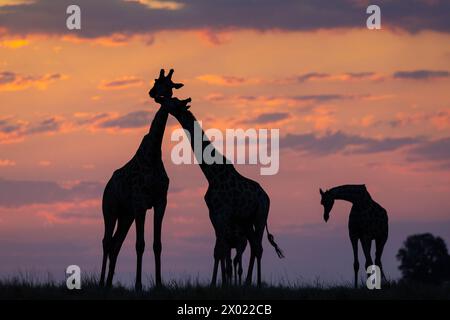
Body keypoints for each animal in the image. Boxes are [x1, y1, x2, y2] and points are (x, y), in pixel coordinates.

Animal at [100, 69, 186, 288]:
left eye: (169, 84)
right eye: (156, 81)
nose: (153, 93)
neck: (153, 154)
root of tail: (107, 186)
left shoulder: (160, 202)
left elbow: (157, 244)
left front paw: (159, 284)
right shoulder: (140, 203)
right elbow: (140, 245)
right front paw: (139, 285)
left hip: (126, 215)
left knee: (116, 243)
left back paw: (109, 283)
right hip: (110, 209)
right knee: (106, 242)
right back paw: (101, 282)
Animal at [153, 93, 284, 288]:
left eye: (174, 101)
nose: (160, 99)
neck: (211, 174)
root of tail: (266, 196)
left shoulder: (222, 213)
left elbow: (221, 250)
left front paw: (217, 284)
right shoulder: (214, 214)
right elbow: (219, 250)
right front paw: (216, 283)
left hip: (261, 215)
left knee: (258, 247)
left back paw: (258, 284)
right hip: (247, 221)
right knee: (254, 246)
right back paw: (247, 283)